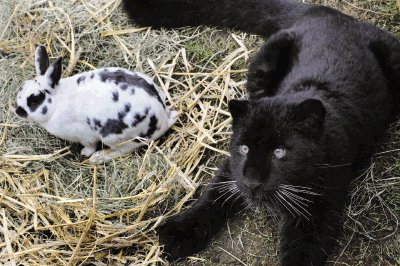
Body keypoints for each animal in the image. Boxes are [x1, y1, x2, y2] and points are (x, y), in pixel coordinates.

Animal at [14, 44, 177, 163]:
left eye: (35, 99)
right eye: (23, 86)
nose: (17, 110)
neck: (57, 102)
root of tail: (162, 120)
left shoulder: (85, 136)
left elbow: (90, 146)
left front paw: (85, 153)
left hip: (115, 138)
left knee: (123, 150)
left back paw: (99, 158)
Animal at [122, 1, 400, 264]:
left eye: (280, 152)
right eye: (244, 148)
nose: (253, 183)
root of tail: (328, 12)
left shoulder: (320, 209)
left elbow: (301, 253)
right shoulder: (231, 168)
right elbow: (212, 197)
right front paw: (179, 233)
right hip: (263, 66)